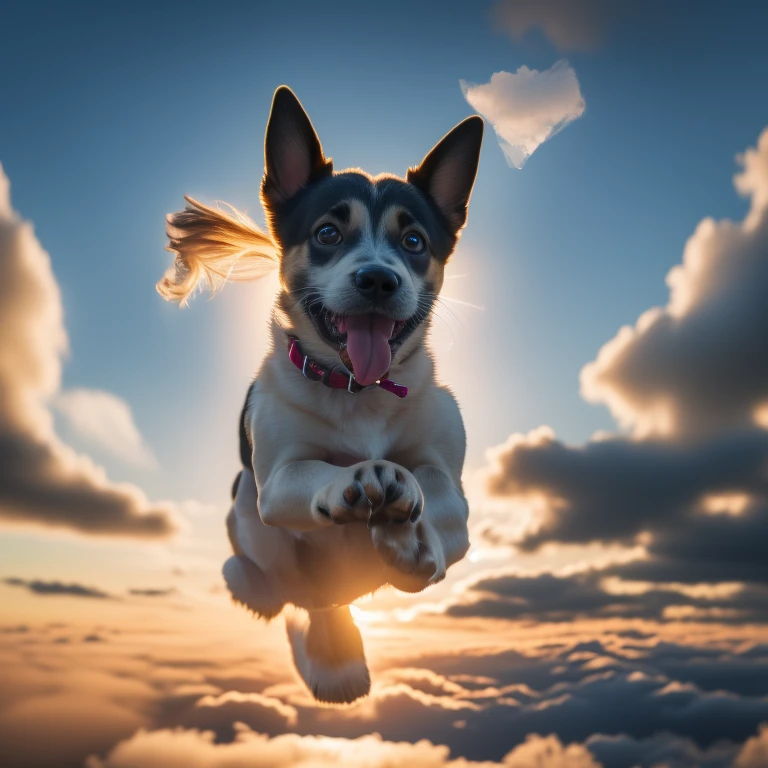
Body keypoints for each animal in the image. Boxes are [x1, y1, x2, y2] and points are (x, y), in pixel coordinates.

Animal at [158, 87, 484, 704]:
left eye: (414, 242)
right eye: (328, 234)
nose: (378, 279)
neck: (358, 388)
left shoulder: (449, 487)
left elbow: (435, 493)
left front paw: (413, 542)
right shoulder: (280, 478)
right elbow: (313, 472)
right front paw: (353, 480)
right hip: (245, 518)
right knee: (286, 594)